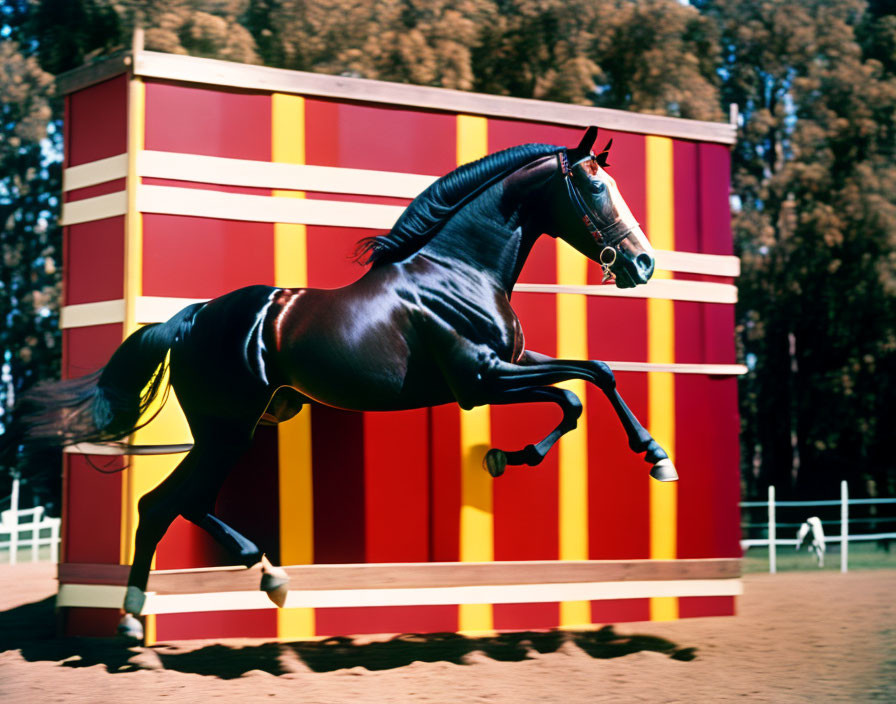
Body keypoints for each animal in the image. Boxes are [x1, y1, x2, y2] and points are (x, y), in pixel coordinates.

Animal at [10, 125, 676, 640]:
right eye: (595, 186)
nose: (642, 263)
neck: (461, 269)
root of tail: (190, 318)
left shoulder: (511, 362)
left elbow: (594, 376)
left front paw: (632, 458)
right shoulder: (481, 380)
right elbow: (576, 390)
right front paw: (635, 458)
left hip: (229, 431)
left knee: (162, 505)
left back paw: (137, 616)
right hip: (230, 430)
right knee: (178, 502)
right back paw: (263, 578)